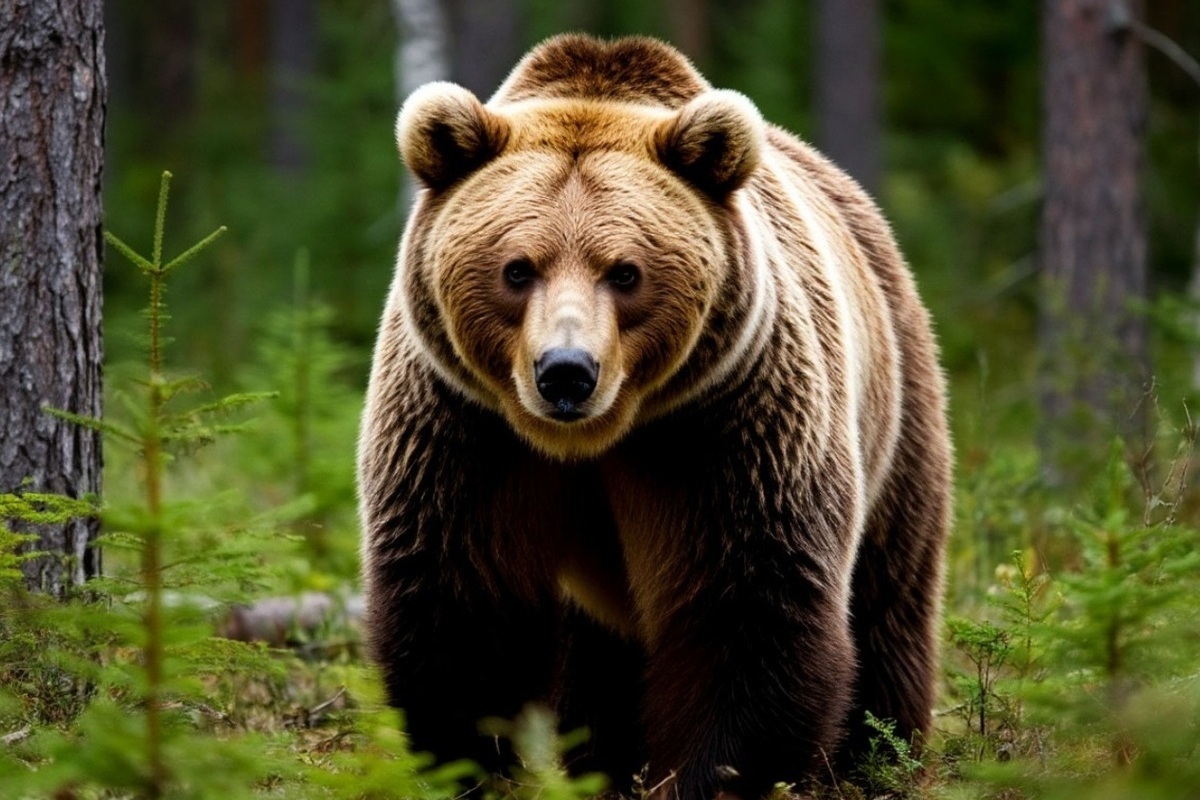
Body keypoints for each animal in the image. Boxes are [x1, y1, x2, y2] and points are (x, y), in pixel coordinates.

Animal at [358, 34, 952, 800]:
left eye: (624, 271)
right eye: (518, 268)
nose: (566, 372)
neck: (592, 441)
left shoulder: (725, 424)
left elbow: (747, 606)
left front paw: (707, 775)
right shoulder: (463, 427)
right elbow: (463, 603)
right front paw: (472, 765)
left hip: (898, 405)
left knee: (888, 598)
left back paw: (877, 755)